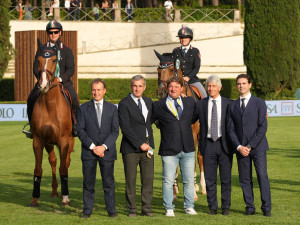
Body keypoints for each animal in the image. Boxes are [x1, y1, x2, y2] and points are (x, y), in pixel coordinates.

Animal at [30, 43, 74, 207]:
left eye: (55, 60)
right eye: (38, 60)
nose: (43, 85)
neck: (50, 104)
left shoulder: (64, 140)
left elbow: (63, 168)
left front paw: (66, 198)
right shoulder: (38, 140)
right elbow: (38, 169)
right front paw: (35, 198)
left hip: (70, 141)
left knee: (65, 162)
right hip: (49, 143)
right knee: (53, 161)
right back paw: (55, 191)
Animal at [155, 50, 206, 201]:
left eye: (172, 69)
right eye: (158, 70)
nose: (161, 92)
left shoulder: (192, 135)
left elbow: (192, 161)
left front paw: (192, 192)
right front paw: (173, 190)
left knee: (199, 157)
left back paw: (201, 186)